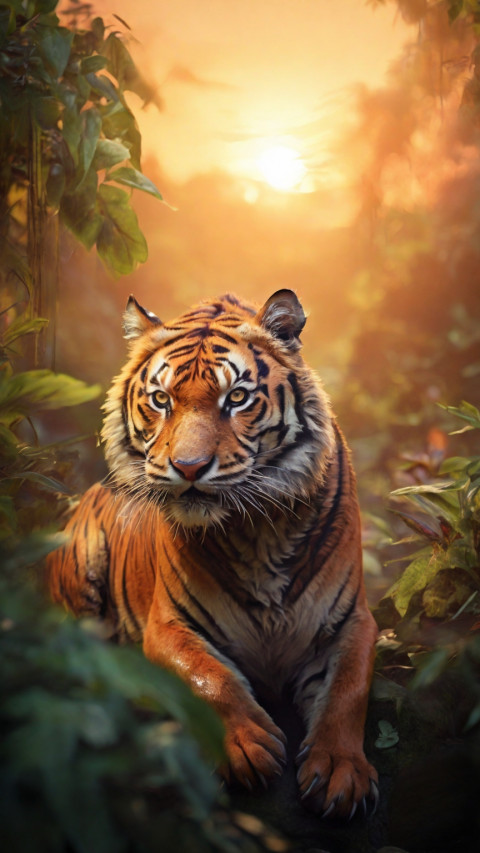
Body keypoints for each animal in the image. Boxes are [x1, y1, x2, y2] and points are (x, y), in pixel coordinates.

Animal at [47, 289, 379, 820]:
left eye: (236, 398)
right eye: (161, 400)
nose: (188, 467)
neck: (258, 530)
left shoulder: (351, 622)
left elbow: (349, 689)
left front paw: (340, 771)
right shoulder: (169, 625)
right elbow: (207, 677)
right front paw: (245, 747)